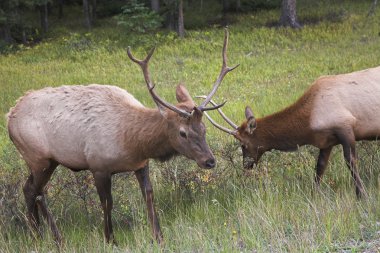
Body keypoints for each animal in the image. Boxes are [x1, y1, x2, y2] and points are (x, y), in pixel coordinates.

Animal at [6, 29, 238, 245]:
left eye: (204, 128)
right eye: (183, 132)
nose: (209, 161)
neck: (133, 142)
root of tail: (10, 116)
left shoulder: (141, 164)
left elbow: (149, 195)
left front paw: (158, 236)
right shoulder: (98, 166)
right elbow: (107, 203)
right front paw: (110, 239)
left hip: (49, 161)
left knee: (34, 190)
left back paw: (47, 236)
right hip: (38, 157)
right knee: (32, 190)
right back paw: (42, 236)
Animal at [200, 66, 380, 199]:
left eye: (243, 144)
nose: (246, 165)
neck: (309, 120)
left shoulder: (345, 127)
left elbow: (351, 162)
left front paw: (362, 195)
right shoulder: (326, 141)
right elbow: (320, 167)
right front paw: (314, 195)